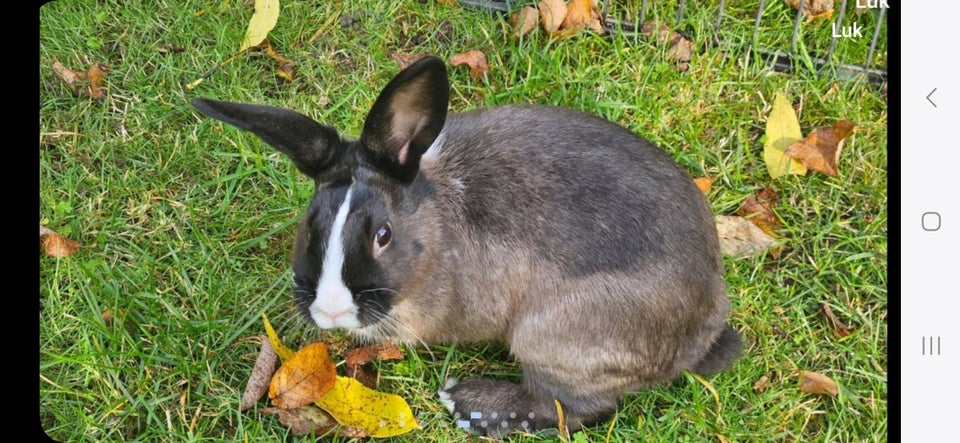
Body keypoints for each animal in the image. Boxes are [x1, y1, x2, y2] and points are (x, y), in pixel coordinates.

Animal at [189, 54, 744, 438]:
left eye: (383, 235)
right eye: (311, 223)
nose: (329, 311)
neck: (436, 228)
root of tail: (701, 335)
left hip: (552, 336)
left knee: (575, 409)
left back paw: (474, 405)